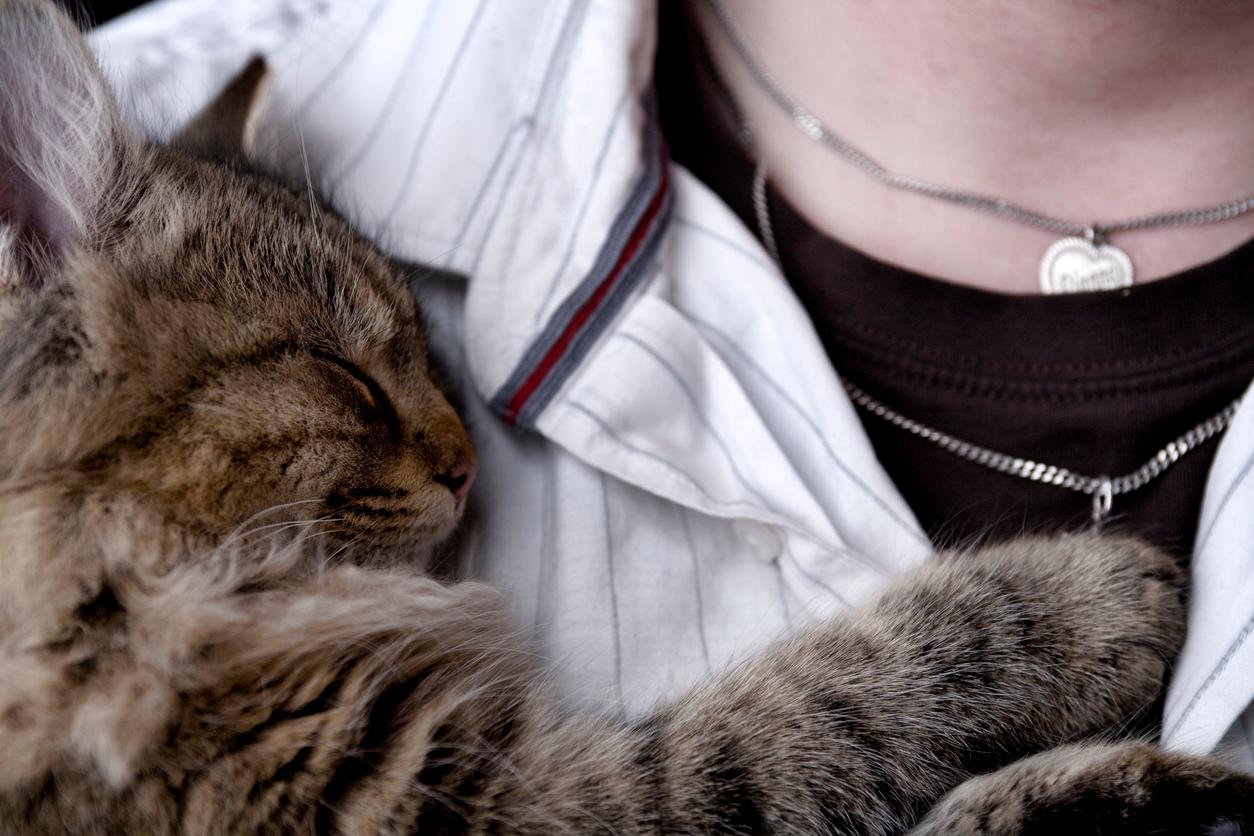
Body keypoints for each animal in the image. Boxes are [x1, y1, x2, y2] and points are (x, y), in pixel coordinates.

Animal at [0, 0, 1248, 832]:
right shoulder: (478, 798)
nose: (466, 465)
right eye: (346, 377)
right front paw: (1080, 605)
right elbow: (826, 704)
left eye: (428, 358)